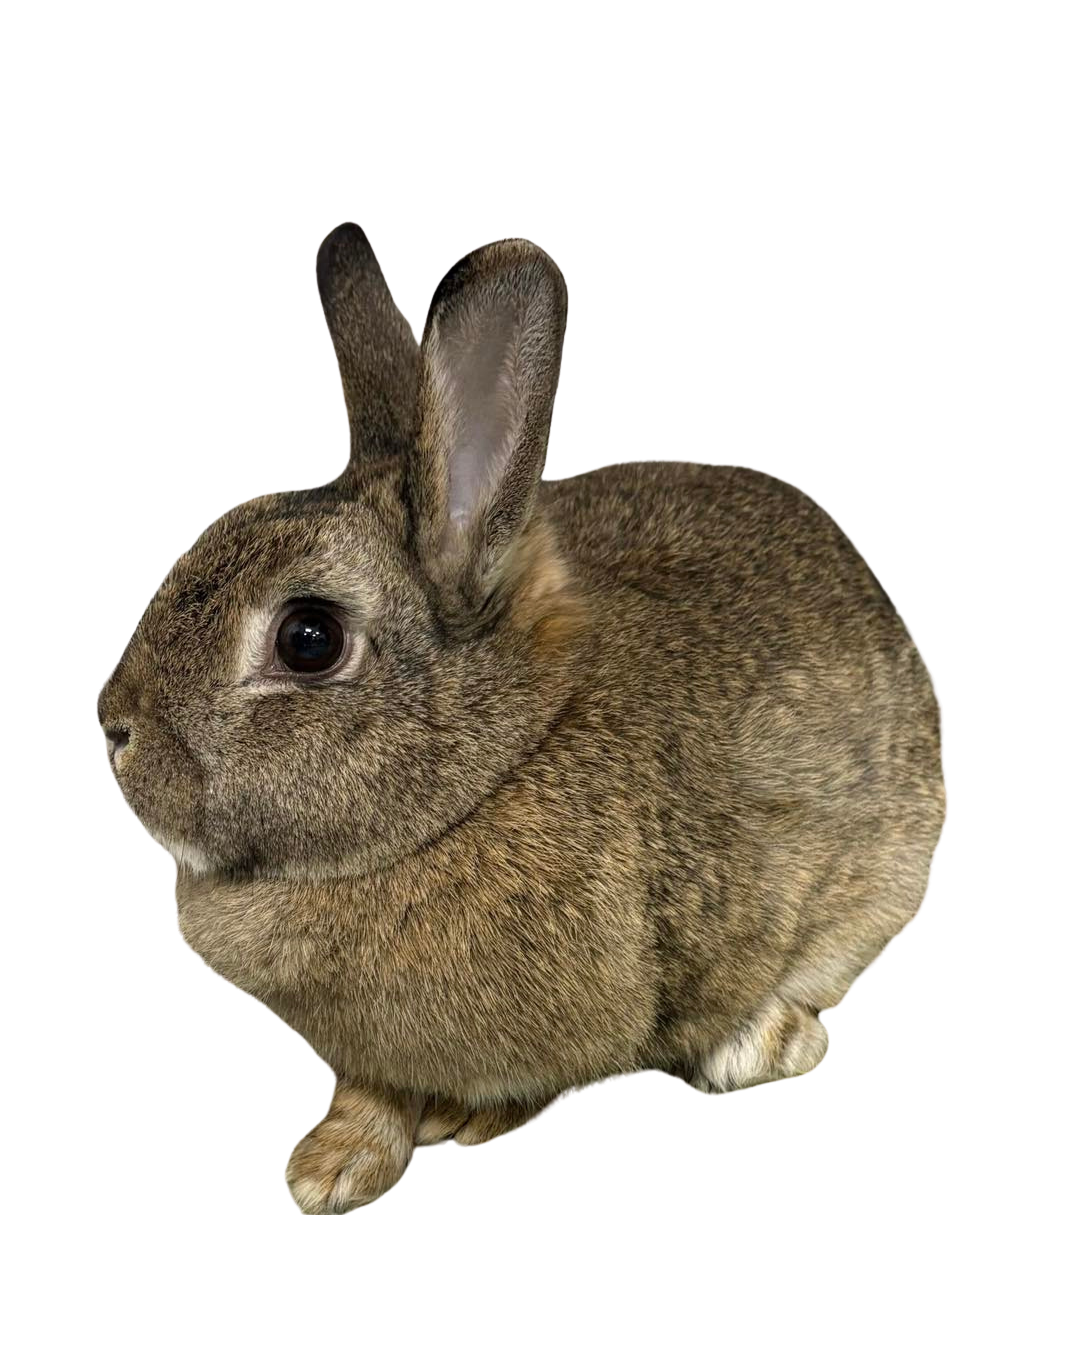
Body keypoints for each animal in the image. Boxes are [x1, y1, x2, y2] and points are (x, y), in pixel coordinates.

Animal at [97, 222, 947, 1214]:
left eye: (309, 640)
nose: (115, 730)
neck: (483, 777)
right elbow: (370, 1096)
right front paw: (330, 1170)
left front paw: (458, 1125)